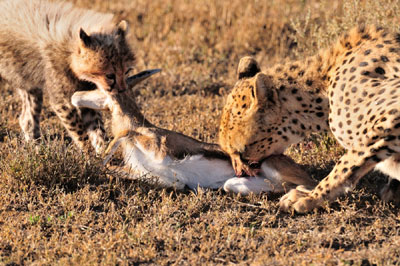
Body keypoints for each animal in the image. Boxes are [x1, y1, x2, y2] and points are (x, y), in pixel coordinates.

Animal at [0, 0, 134, 152]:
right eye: (110, 75)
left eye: (127, 71)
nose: (122, 90)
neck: (70, 54)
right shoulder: (62, 103)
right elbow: (80, 132)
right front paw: (88, 153)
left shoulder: (83, 96)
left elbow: (97, 128)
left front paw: (102, 151)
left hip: (28, 84)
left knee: (26, 119)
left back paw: (37, 148)